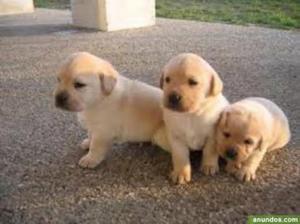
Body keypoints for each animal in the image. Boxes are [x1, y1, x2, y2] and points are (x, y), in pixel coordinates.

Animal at [161, 53, 229, 184]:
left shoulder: (212, 136)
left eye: (193, 82)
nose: (173, 97)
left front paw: (209, 165)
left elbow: (210, 151)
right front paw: (180, 173)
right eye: (167, 79)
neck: (190, 115)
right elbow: (180, 156)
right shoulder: (176, 137)